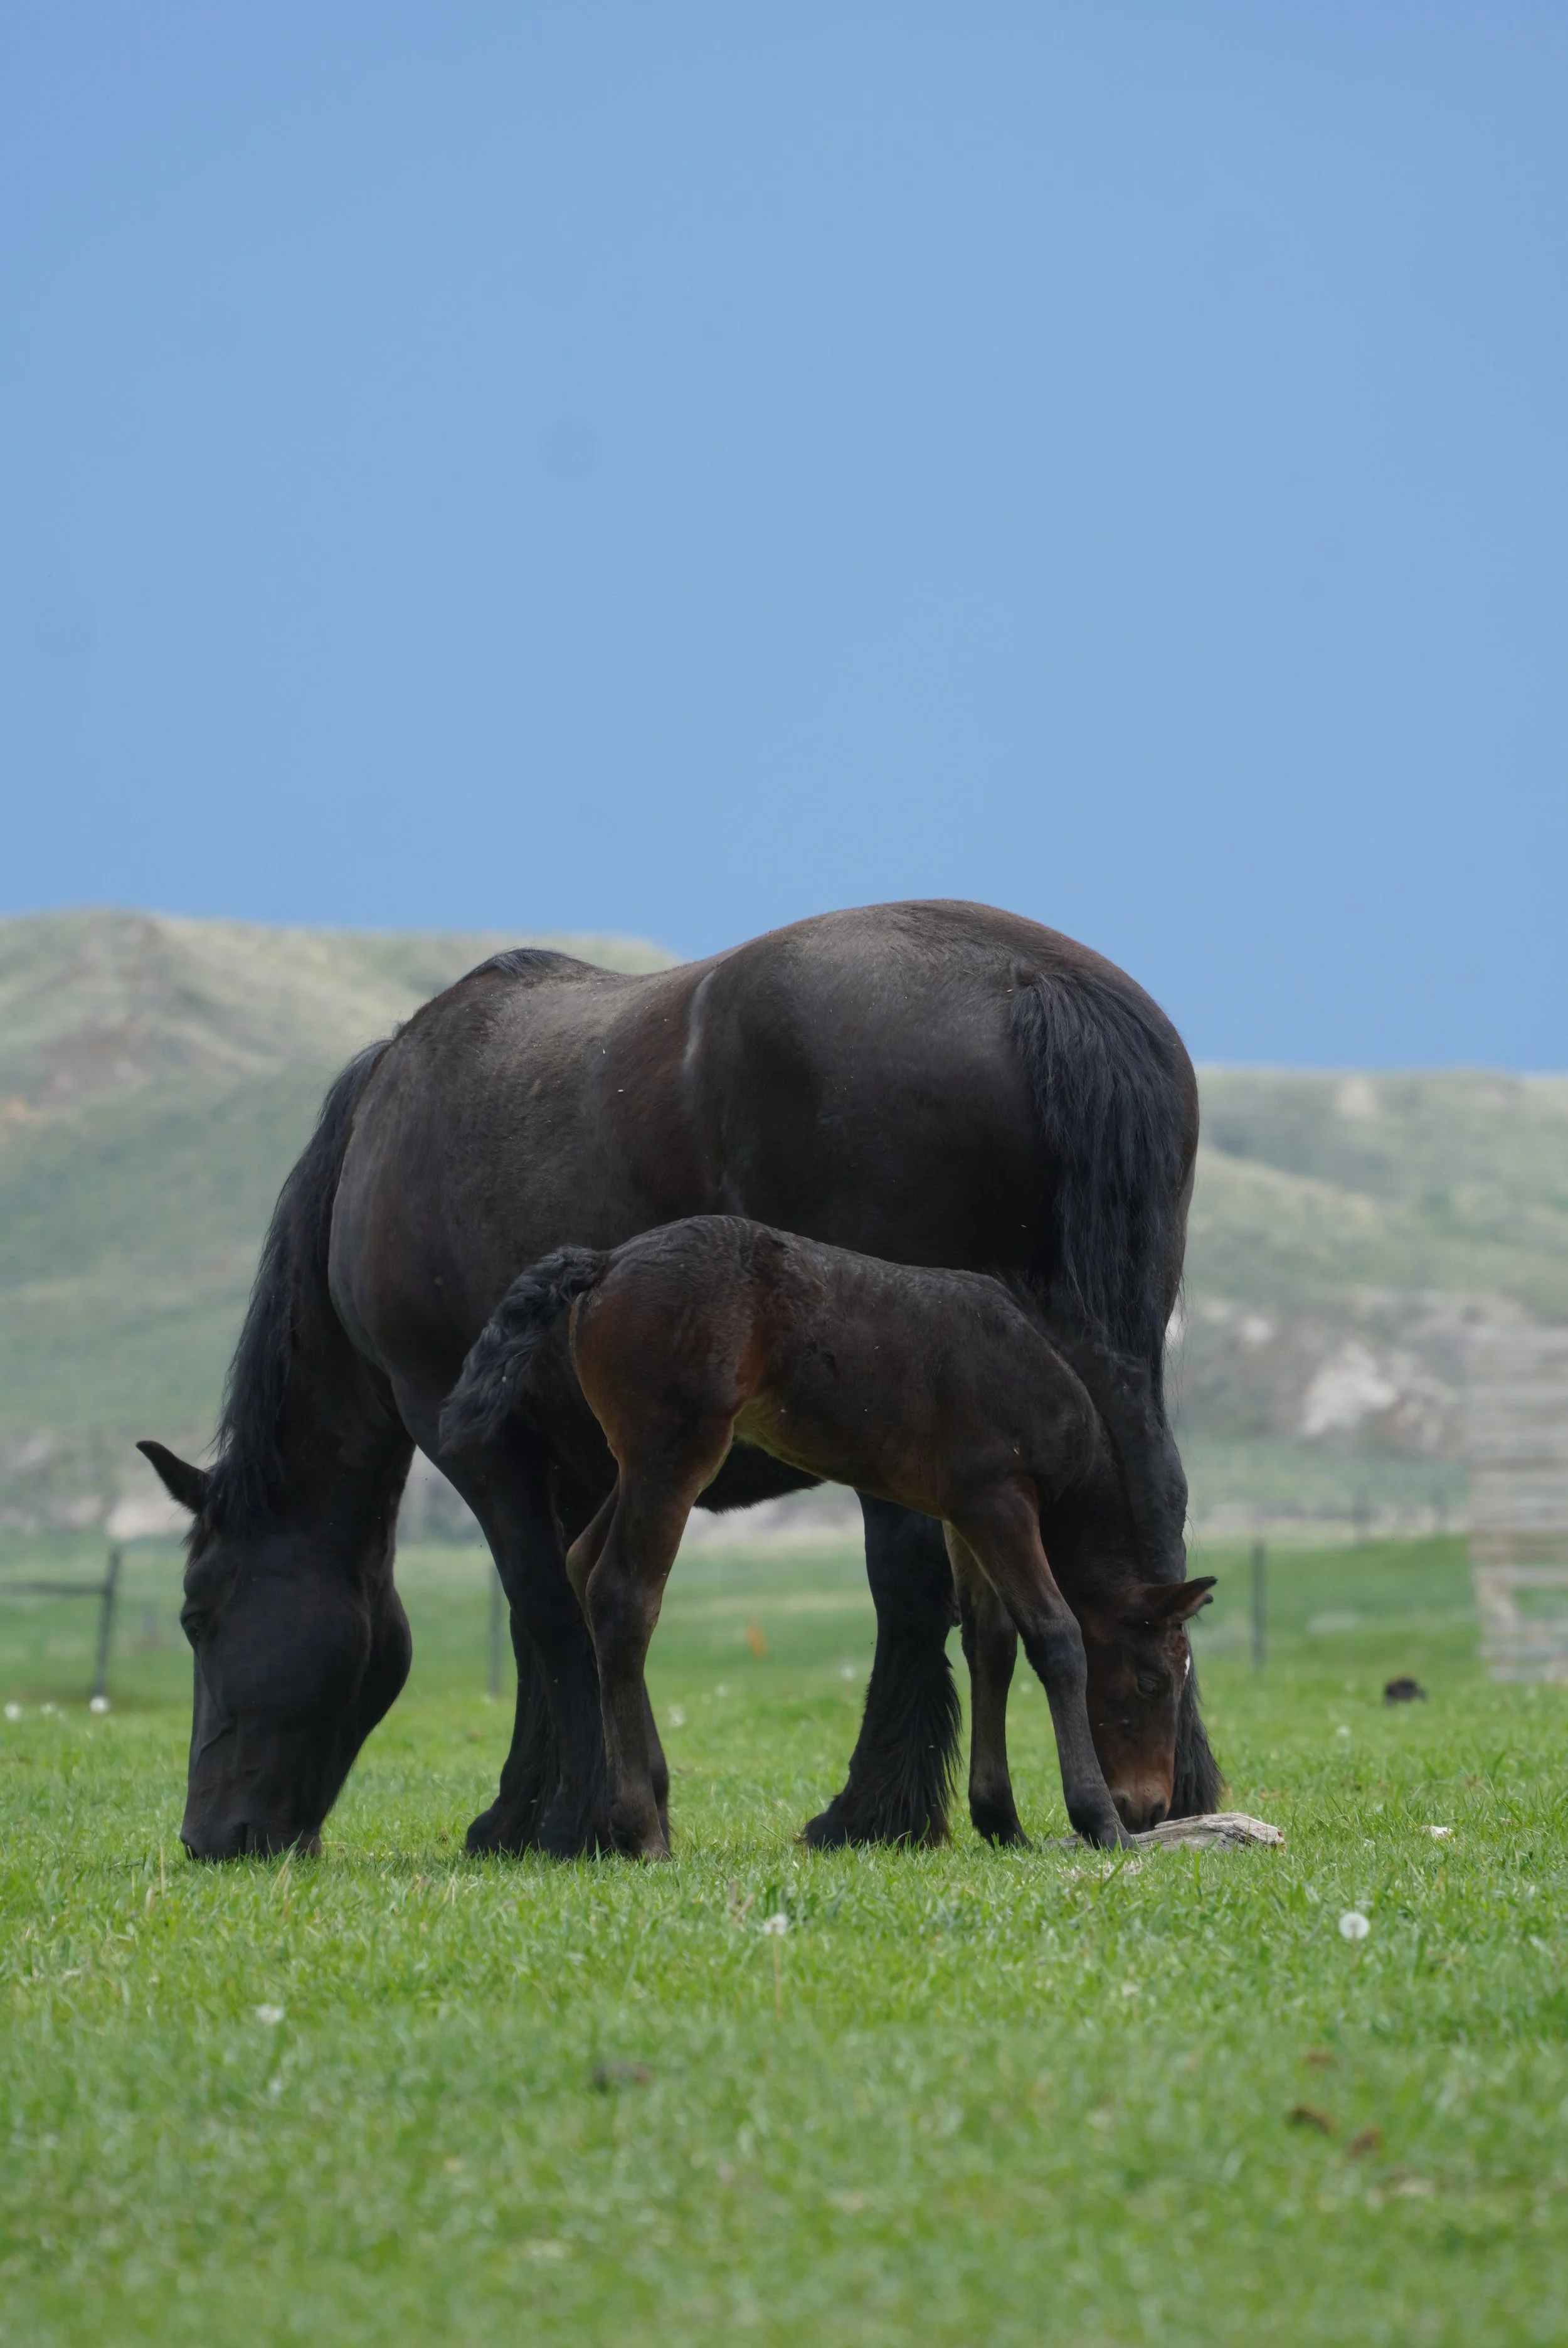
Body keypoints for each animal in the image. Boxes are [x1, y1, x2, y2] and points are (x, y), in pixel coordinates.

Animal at [441, 1219, 1215, 1856]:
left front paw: (1001, 1819)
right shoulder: (1000, 1500)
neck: (1036, 1368)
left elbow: (989, 1643)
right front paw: (1097, 1820)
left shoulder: (963, 1512)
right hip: (673, 1454)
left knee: (581, 1563)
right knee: (624, 1595)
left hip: (638, 1463)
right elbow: (1055, 1636)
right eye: (1151, 1680)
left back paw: (651, 1804)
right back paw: (640, 1827)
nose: (1148, 1807)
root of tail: (605, 1263)